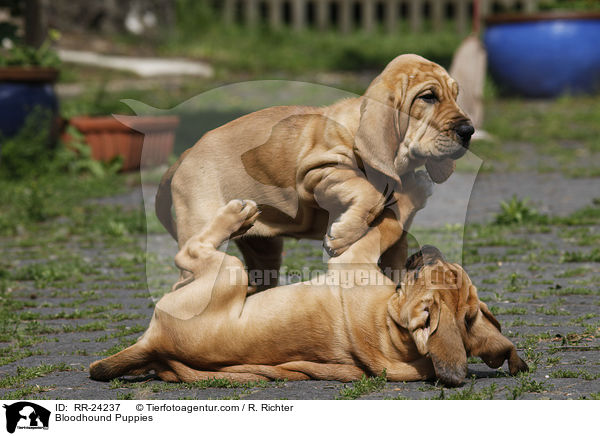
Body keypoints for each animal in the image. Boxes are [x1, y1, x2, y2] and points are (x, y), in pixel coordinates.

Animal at [91, 197, 528, 384]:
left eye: (432, 272)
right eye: (450, 270)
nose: (430, 251)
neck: (393, 330)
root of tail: (155, 345)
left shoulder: (354, 257)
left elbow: (382, 226)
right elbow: (385, 226)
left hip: (227, 271)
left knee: (192, 250)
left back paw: (237, 216)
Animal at [157, 52, 476, 290]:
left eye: (455, 95)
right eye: (428, 97)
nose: (468, 131)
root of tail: (184, 155)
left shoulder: (395, 245)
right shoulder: (317, 171)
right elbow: (367, 191)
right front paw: (342, 235)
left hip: (265, 250)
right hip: (200, 223)